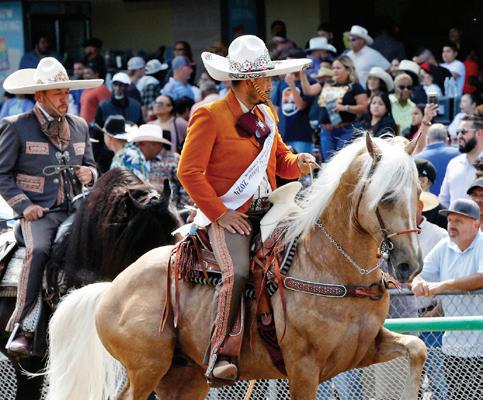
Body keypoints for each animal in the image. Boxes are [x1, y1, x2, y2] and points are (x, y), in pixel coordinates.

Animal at [45, 134, 428, 400]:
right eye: (386, 197)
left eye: (418, 195)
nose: (409, 264)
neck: (329, 264)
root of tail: (112, 287)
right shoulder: (303, 368)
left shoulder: (366, 348)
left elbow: (417, 348)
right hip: (146, 368)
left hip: (184, 377)